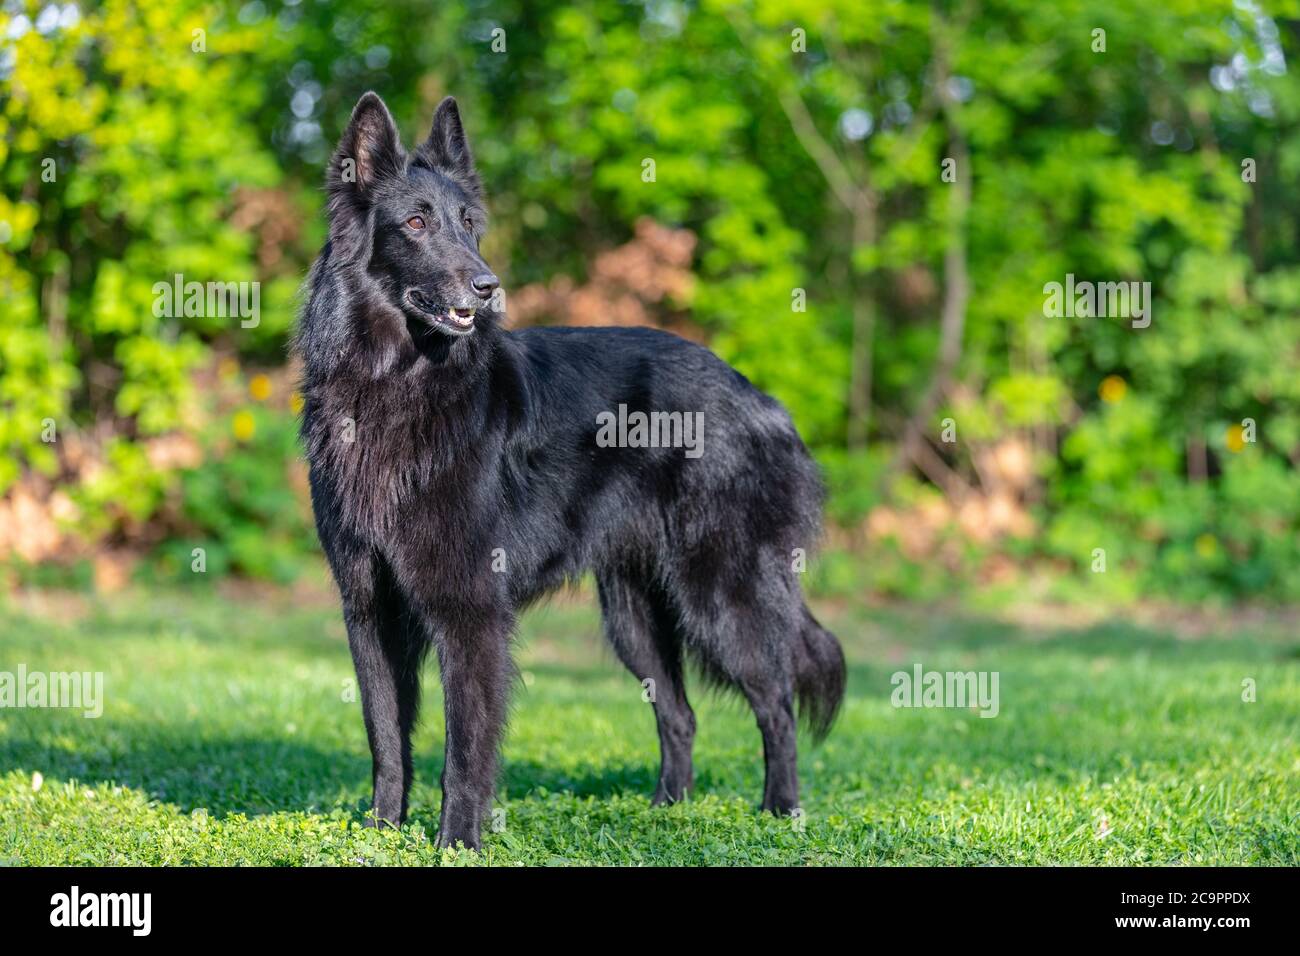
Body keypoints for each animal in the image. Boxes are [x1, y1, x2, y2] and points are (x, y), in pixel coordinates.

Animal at [296, 93, 847, 848]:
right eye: (415, 223)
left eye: (469, 225)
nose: (488, 286)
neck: (395, 383)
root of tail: (761, 398)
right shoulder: (370, 610)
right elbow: (386, 737)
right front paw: (382, 833)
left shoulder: (470, 610)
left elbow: (463, 749)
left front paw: (457, 842)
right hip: (634, 616)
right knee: (681, 714)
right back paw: (667, 813)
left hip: (721, 595)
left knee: (778, 703)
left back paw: (782, 813)